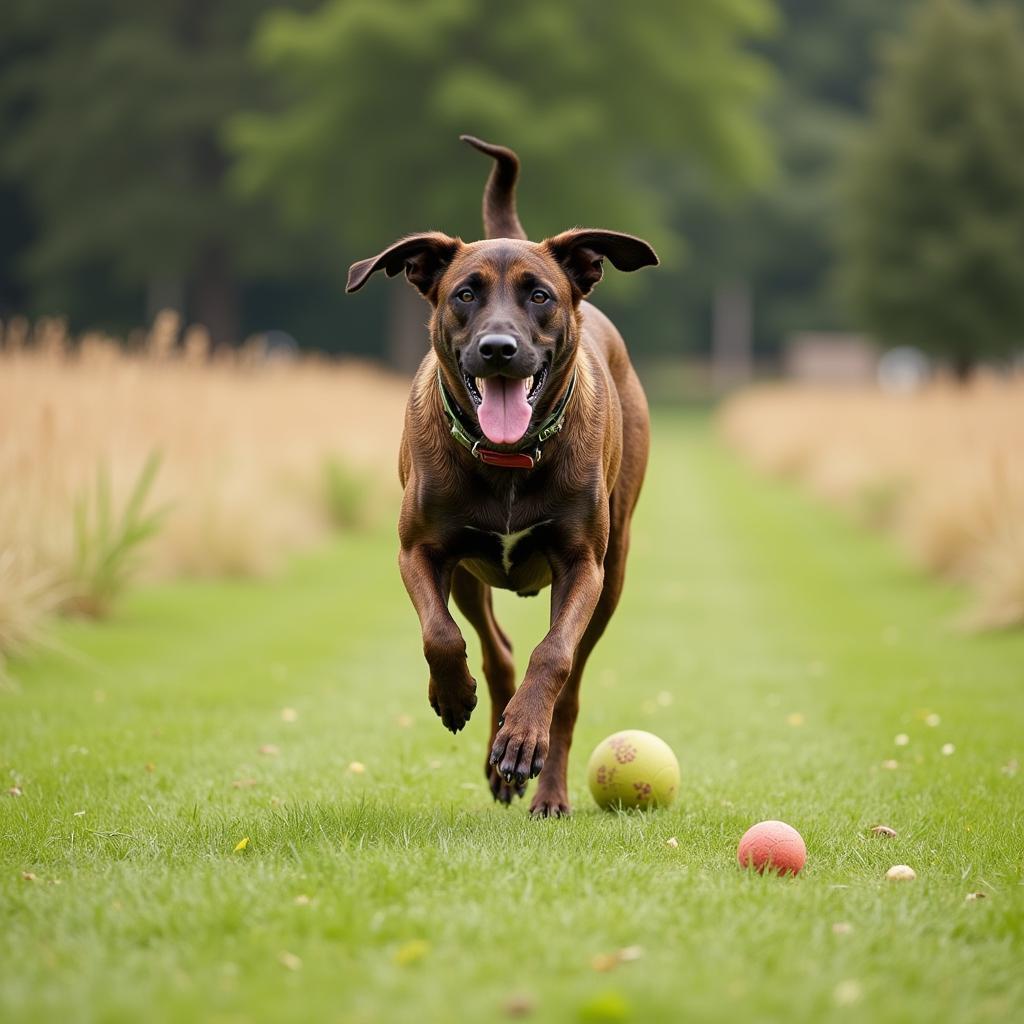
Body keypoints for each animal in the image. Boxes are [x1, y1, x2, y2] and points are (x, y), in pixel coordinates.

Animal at [348, 136, 659, 815]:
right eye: (464, 293)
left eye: (539, 295)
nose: (498, 348)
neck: (509, 457)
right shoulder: (421, 549)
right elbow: (441, 635)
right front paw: (451, 695)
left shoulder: (583, 563)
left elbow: (553, 655)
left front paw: (523, 738)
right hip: (471, 572)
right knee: (495, 651)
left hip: (616, 569)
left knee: (566, 683)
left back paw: (543, 780)